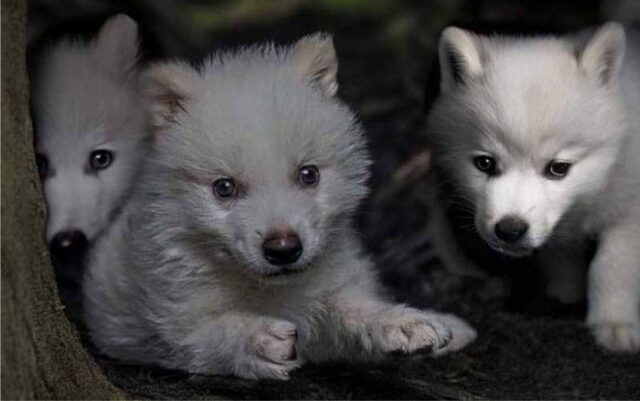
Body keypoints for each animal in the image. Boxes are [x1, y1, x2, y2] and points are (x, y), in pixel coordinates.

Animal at [83, 33, 477, 380]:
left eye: (308, 175)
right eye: (224, 188)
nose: (284, 249)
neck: (268, 290)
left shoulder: (329, 290)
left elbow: (351, 305)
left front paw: (403, 323)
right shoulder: (169, 317)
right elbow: (206, 335)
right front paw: (256, 341)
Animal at [426, 22, 640, 352]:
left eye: (558, 168)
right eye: (485, 163)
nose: (510, 230)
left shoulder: (628, 213)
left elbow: (611, 264)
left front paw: (614, 324)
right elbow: (561, 260)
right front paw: (565, 293)